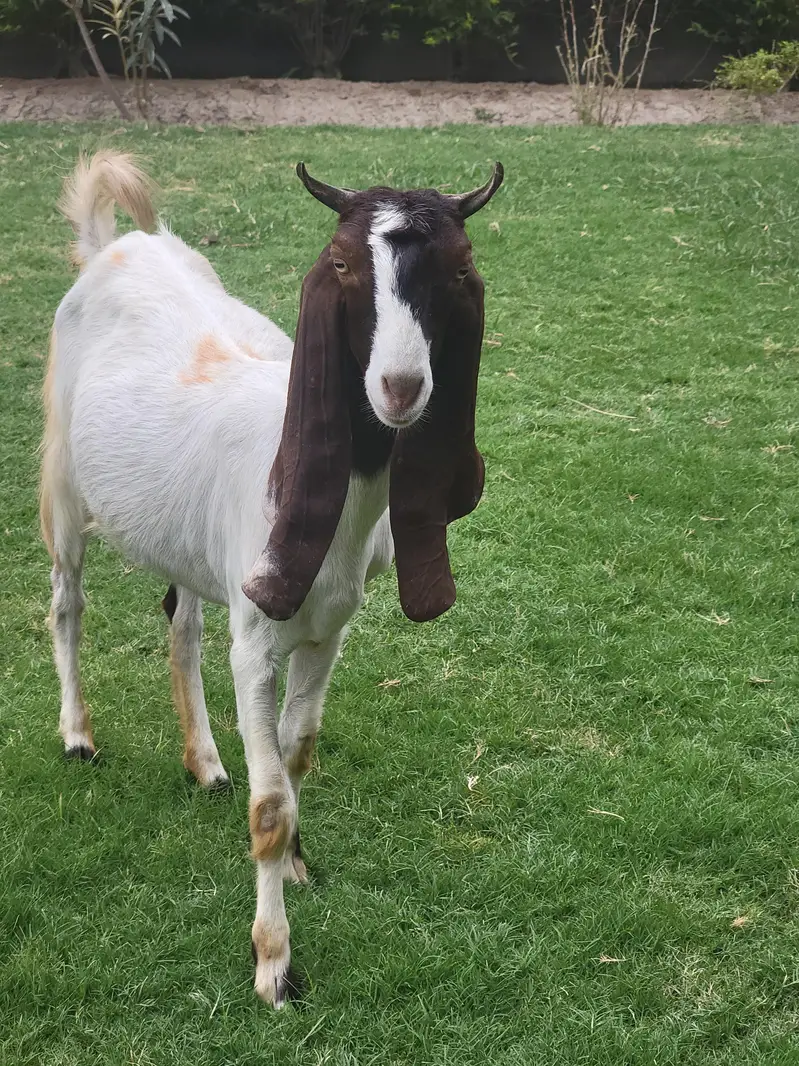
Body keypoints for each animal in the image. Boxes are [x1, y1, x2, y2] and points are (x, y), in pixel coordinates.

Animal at [41, 150, 503, 1005]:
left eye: (458, 267)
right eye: (343, 263)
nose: (399, 388)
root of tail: (111, 247)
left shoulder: (327, 634)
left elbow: (294, 758)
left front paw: (294, 866)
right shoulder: (255, 642)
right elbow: (268, 806)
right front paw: (274, 965)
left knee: (182, 624)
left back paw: (205, 762)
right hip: (60, 473)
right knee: (68, 602)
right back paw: (79, 735)